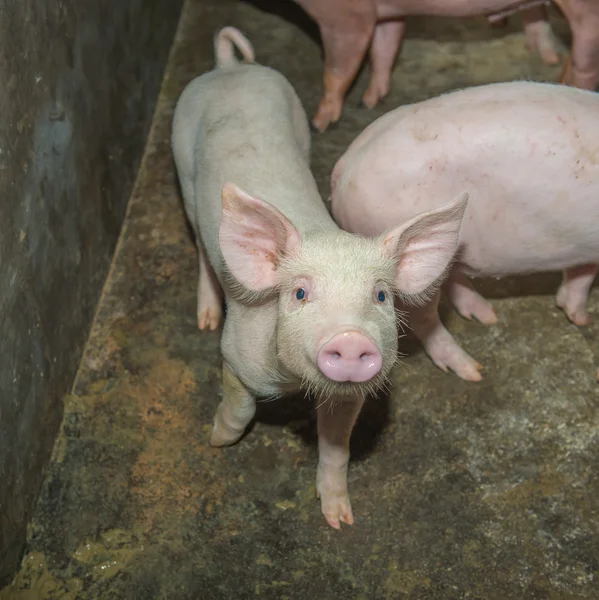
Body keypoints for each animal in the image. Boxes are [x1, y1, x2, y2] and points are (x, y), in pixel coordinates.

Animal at [294, 0, 599, 131]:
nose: (314, 124)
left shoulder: (345, 17)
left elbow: (337, 69)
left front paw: (317, 124)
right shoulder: (386, 13)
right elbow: (384, 47)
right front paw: (368, 102)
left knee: (585, 59)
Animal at [330, 79, 599, 382]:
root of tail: (344, 167)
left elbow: (581, 273)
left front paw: (580, 317)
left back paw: (488, 315)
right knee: (424, 318)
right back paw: (472, 370)